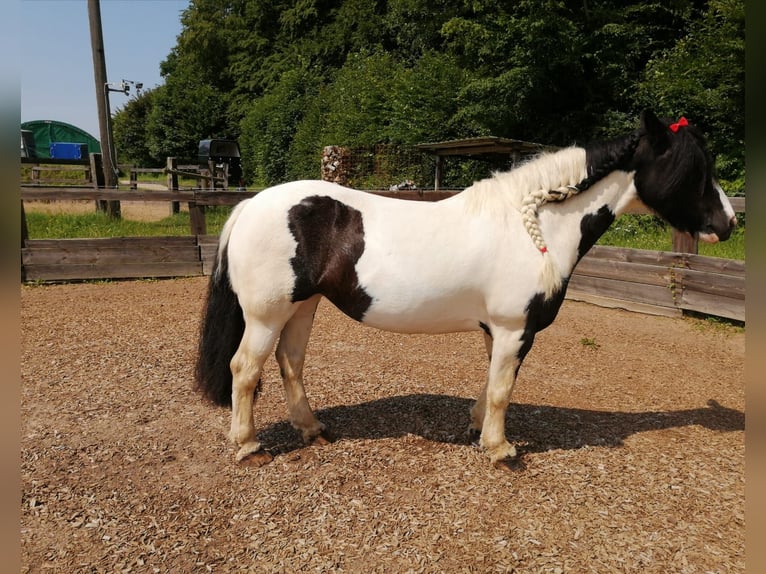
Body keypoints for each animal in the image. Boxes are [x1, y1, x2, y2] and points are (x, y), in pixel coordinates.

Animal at [196, 110, 736, 470]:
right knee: (244, 370)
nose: (727, 223)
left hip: (301, 307)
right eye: (695, 169)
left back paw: (312, 430)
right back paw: (248, 446)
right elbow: (501, 389)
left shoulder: (499, 329)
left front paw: (478, 427)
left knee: (290, 364)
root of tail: (251, 205)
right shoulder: (515, 327)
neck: (533, 223)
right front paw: (500, 449)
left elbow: (492, 381)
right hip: (266, 314)